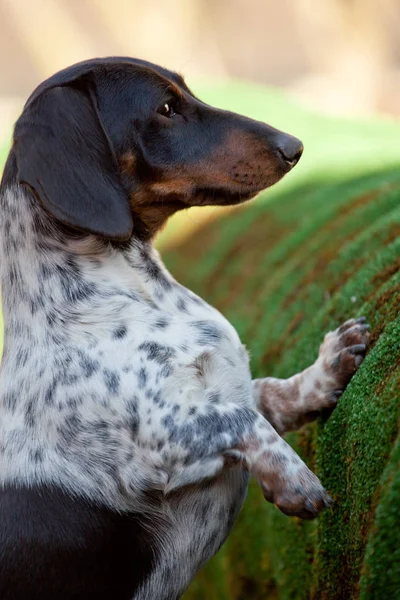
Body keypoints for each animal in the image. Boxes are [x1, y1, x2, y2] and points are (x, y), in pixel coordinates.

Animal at [0, 57, 368, 600]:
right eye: (167, 108)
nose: (295, 145)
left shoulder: (227, 388)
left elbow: (271, 395)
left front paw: (331, 364)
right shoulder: (160, 437)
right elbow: (242, 420)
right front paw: (295, 480)